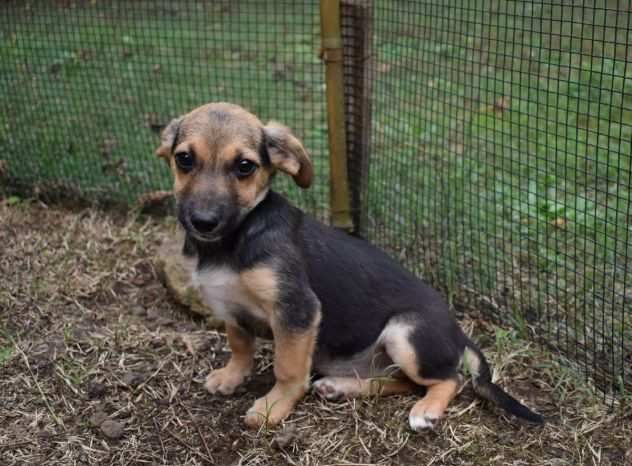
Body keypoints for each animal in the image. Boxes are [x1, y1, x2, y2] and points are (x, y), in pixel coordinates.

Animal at [154, 102, 544, 430]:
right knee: (400, 381)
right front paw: (231, 376)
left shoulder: (297, 310)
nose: (203, 222)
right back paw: (341, 387)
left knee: (450, 378)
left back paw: (426, 410)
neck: (234, 239)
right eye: (184, 159)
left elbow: (288, 368)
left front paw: (273, 407)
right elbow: (239, 346)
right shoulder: (231, 308)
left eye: (245, 166)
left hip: (406, 335)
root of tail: (459, 333)